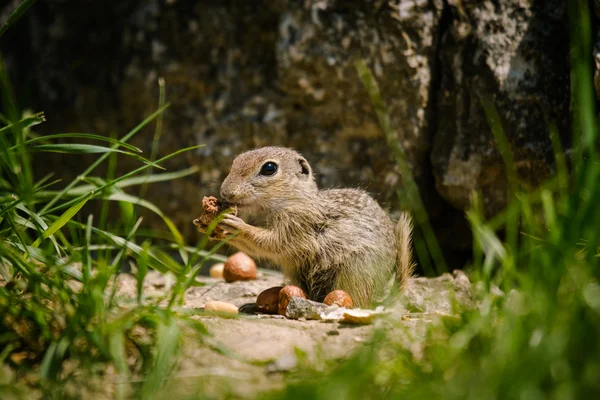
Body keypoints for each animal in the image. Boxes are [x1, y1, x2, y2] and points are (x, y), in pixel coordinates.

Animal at [206, 147, 412, 306]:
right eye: (235, 162)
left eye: (269, 168)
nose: (225, 192)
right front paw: (214, 229)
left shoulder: (297, 225)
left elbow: (272, 243)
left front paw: (237, 225)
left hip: (355, 272)